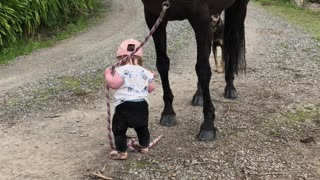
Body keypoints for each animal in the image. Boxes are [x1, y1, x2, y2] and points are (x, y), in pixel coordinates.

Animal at [141, 0, 249, 141]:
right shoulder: (154, 16)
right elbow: (162, 64)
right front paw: (168, 112)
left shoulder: (200, 17)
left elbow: (203, 69)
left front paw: (208, 125)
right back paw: (199, 94)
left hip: (238, 8)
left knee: (231, 44)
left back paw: (230, 88)